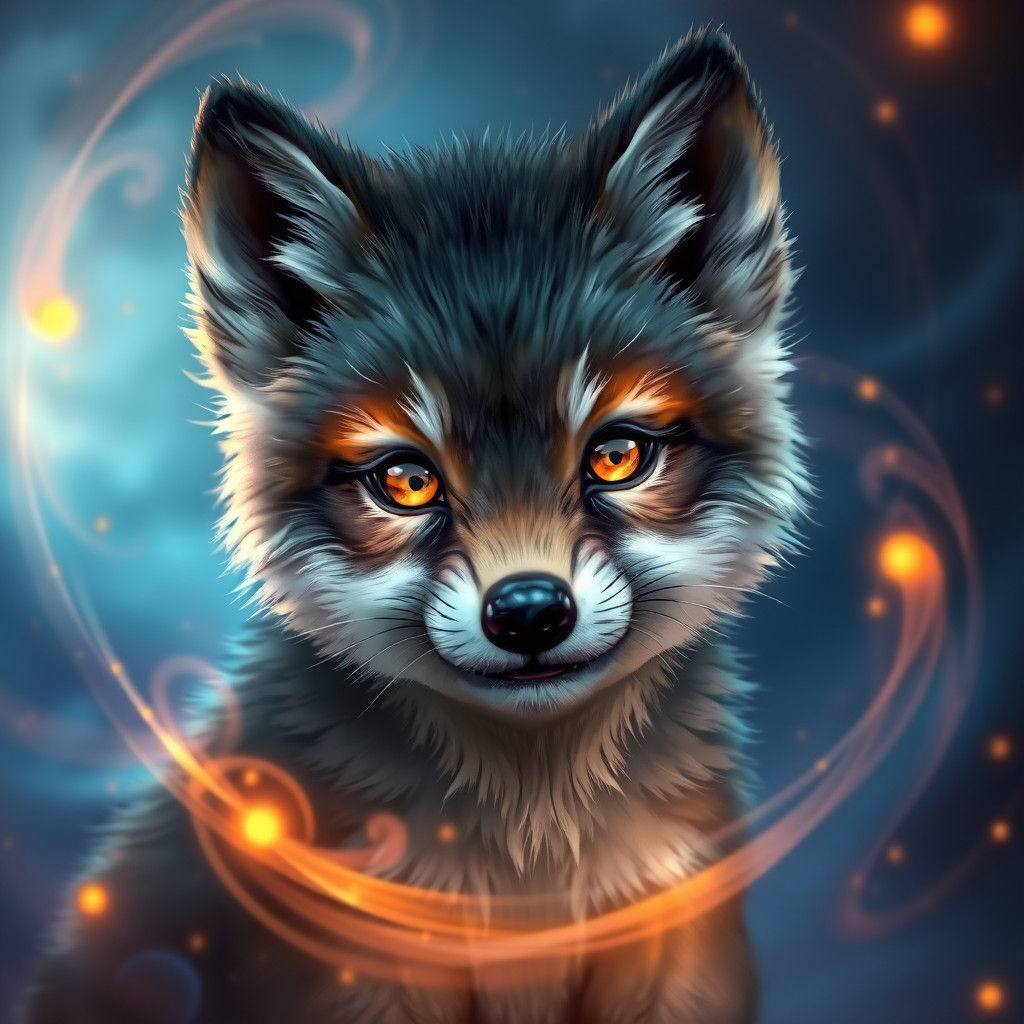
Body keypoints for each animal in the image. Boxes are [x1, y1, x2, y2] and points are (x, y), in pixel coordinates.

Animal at [24, 29, 806, 1024]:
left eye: (616, 457)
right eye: (405, 480)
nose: (528, 613)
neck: (531, 865)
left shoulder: (676, 941)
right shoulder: (353, 968)